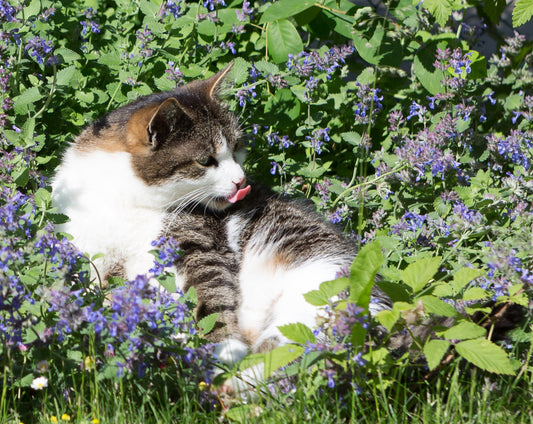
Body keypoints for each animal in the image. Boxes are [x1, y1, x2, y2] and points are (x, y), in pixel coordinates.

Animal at [52, 63, 388, 394]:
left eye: (237, 147)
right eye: (205, 160)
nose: (241, 181)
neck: (125, 200)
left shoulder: (196, 244)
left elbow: (210, 297)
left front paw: (224, 352)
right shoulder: (81, 240)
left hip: (316, 291)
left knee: (297, 359)